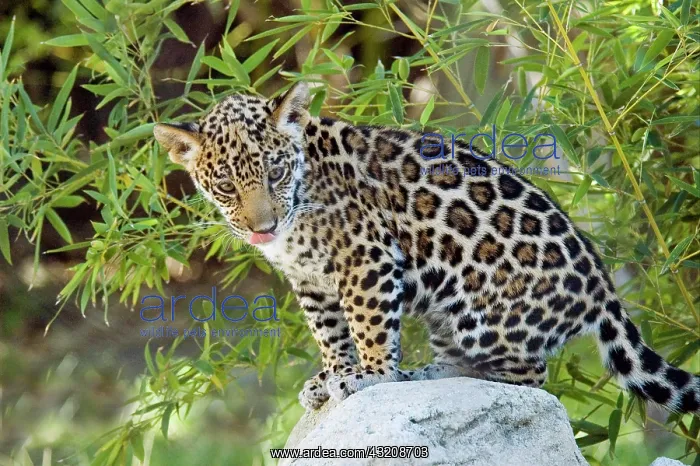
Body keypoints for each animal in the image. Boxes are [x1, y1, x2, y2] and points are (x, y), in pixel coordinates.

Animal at [154, 81, 700, 415]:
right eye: (226, 184)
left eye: (275, 172)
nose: (262, 229)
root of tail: (602, 290)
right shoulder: (308, 279)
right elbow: (329, 332)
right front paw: (333, 374)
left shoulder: (365, 256)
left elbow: (367, 325)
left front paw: (369, 376)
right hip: (446, 317)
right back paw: (427, 374)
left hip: (478, 312)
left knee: (531, 374)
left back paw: (434, 378)